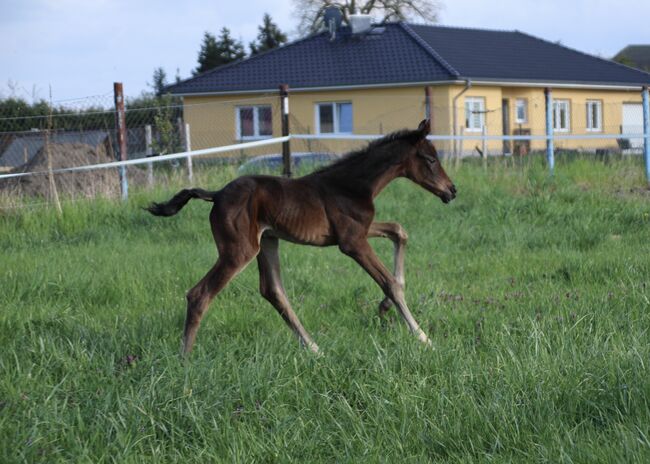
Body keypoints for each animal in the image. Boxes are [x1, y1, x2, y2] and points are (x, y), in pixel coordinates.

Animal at [147, 119, 454, 356]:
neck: (353, 185)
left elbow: (399, 231)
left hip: (266, 241)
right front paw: (424, 338)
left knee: (273, 290)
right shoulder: (352, 242)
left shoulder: (359, 229)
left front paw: (385, 307)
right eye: (430, 159)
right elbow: (389, 282)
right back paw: (184, 360)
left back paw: (314, 348)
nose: (452, 190)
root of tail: (218, 193)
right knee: (200, 294)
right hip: (238, 250)